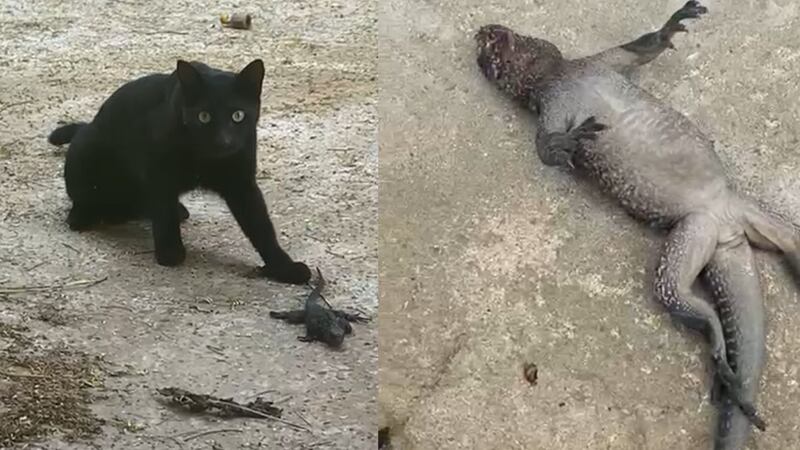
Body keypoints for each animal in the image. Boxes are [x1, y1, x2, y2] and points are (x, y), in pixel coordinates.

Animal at [46, 59, 310, 284]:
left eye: (238, 116)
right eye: (204, 116)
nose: (223, 141)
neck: (205, 158)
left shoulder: (242, 183)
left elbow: (261, 227)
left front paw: (284, 268)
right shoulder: (159, 173)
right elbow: (164, 214)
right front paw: (170, 252)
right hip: (85, 148)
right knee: (83, 196)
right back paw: (82, 216)